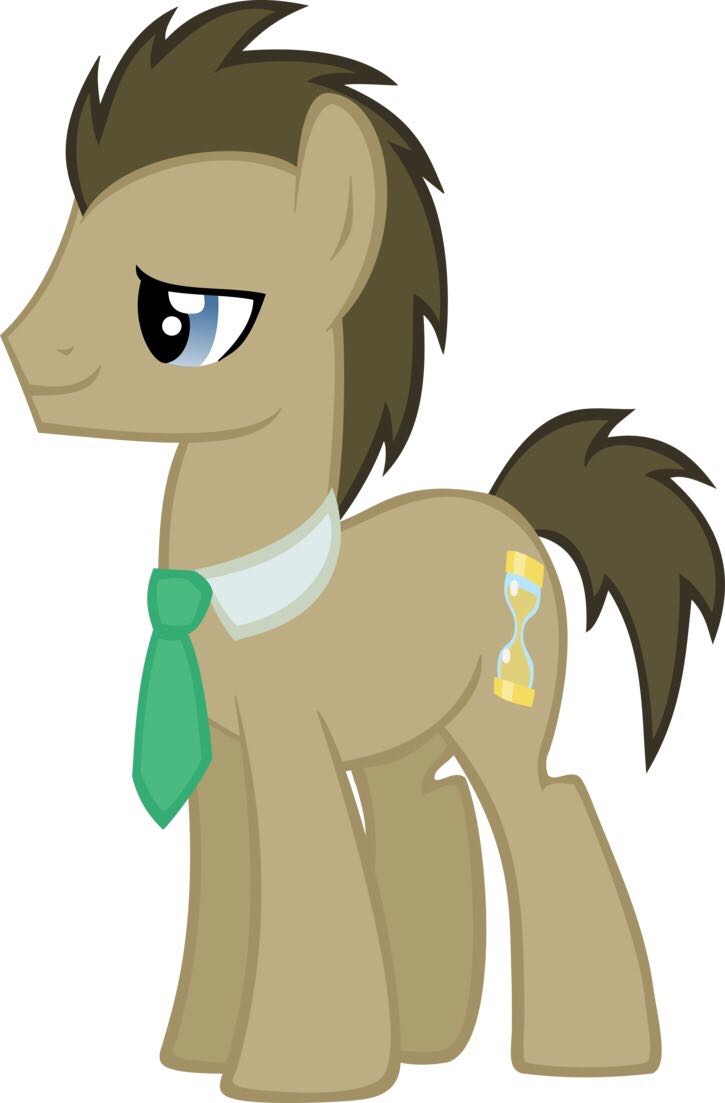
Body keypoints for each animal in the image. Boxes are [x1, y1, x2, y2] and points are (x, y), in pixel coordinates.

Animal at [3, 5, 722, 1101]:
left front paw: (294, 1071)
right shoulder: (223, 756)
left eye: (180, 320)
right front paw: (196, 1052)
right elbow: (231, 889)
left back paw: (589, 1054)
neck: (240, 587)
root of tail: (512, 514)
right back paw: (425, 1044)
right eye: (65, 240)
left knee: (547, 807)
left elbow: (308, 873)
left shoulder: (288, 739)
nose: (25, 355)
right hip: (406, 738)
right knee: (430, 811)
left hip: (503, 715)